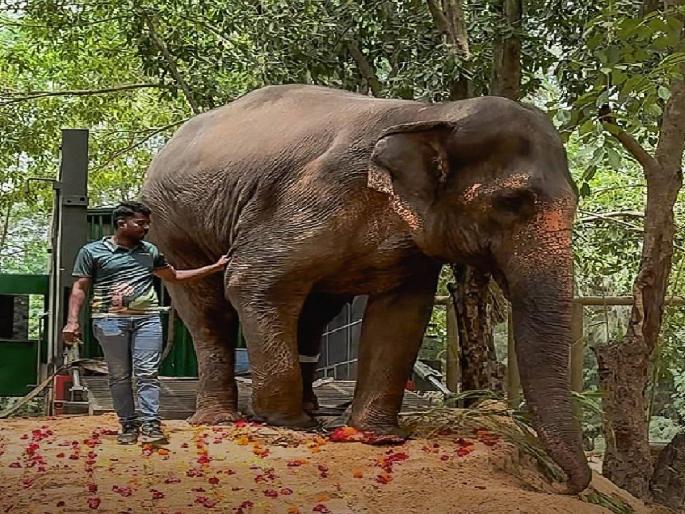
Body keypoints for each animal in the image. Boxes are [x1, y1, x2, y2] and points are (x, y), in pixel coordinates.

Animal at [140, 84, 591, 494]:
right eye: (512, 201)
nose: (558, 484)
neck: (434, 112)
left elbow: (402, 313)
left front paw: (376, 436)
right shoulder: (312, 197)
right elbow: (253, 279)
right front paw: (286, 424)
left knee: (312, 314)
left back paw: (307, 407)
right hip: (171, 227)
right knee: (208, 308)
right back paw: (222, 419)